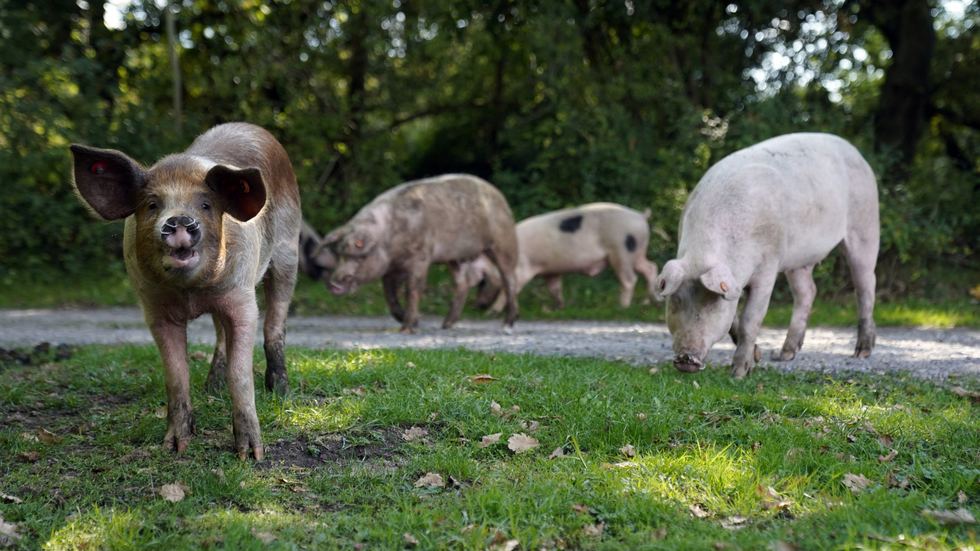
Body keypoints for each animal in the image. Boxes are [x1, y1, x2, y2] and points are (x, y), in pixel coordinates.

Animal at [70, 122, 301, 460]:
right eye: (153, 205)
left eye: (205, 205)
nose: (179, 219)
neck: (190, 292)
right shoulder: (154, 308)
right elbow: (176, 375)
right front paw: (175, 447)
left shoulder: (242, 298)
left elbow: (240, 374)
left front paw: (251, 455)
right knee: (220, 336)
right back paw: (212, 388)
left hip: (288, 252)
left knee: (275, 324)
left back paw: (280, 392)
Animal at [311, 174, 519, 333]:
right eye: (338, 255)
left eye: (359, 256)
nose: (333, 284)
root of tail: (499, 195)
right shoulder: (393, 267)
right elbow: (389, 291)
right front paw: (409, 322)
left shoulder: (420, 257)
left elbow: (412, 289)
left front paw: (407, 329)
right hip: (454, 258)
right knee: (463, 284)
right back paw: (445, 325)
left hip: (504, 241)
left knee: (509, 279)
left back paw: (507, 324)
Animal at [482, 203, 660, 313]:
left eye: (483, 280)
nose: (479, 306)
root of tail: (640, 216)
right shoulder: (549, 270)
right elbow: (554, 287)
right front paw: (558, 308)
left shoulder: (522, 268)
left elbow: (510, 288)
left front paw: (492, 312)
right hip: (636, 253)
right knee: (650, 267)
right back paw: (654, 302)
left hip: (622, 251)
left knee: (630, 279)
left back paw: (622, 307)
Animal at [654, 132, 879, 379]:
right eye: (675, 301)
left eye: (713, 305)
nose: (686, 358)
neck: (703, 255)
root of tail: (856, 152)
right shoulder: (732, 283)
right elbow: (735, 316)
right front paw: (757, 356)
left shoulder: (768, 265)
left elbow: (750, 319)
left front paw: (739, 373)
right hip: (798, 259)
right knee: (808, 291)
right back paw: (785, 354)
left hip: (865, 224)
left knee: (865, 284)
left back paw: (862, 352)